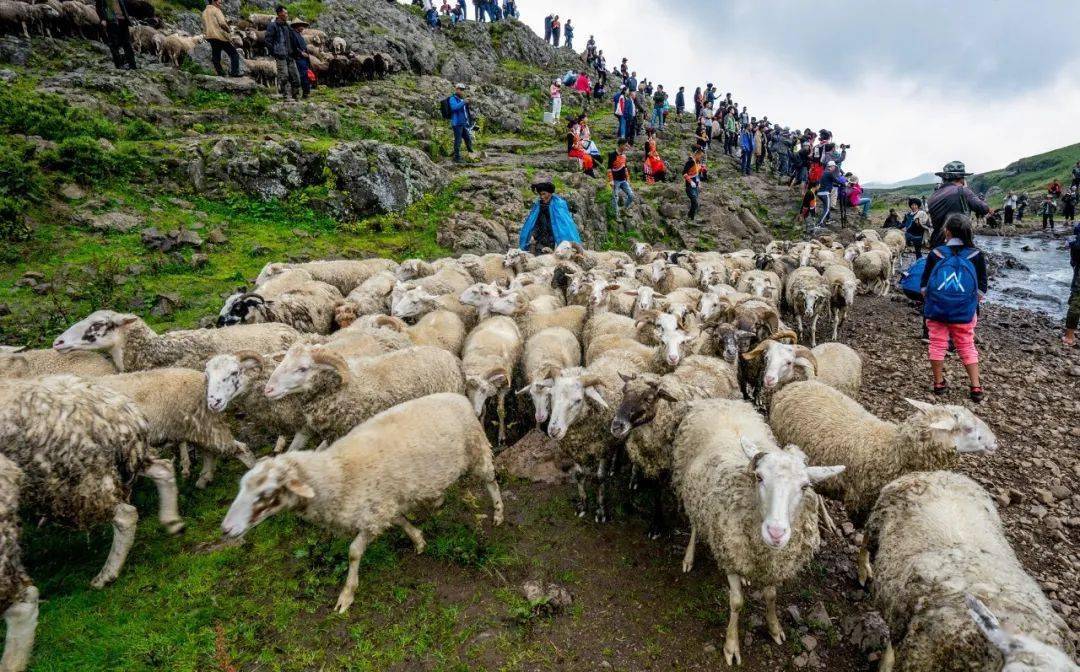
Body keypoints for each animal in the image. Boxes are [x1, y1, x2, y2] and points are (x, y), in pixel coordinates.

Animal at [222, 395, 505, 617]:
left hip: (477, 451)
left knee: (491, 480)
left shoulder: (373, 514)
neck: (337, 473)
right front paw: (418, 539)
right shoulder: (383, 505)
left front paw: (347, 595)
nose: (225, 529)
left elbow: (354, 552)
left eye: (267, 493)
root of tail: (460, 398)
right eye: (242, 487)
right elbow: (400, 520)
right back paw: (438, 501)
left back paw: (499, 512)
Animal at [673, 399, 842, 669]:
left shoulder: (774, 564)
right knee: (696, 524)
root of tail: (721, 401)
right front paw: (731, 645)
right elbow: (736, 602)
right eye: (759, 477)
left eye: (805, 486)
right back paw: (689, 557)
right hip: (690, 489)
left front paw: (774, 628)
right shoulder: (730, 551)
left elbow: (771, 596)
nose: (776, 532)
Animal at [773, 384, 997, 583]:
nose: (995, 442)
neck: (895, 452)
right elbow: (865, 540)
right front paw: (863, 570)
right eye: (968, 428)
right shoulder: (867, 503)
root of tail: (793, 386)